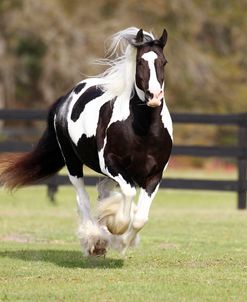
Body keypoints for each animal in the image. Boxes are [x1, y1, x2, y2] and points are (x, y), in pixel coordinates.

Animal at [0, 27, 173, 256]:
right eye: (140, 62)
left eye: (163, 62)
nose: (154, 96)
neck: (143, 130)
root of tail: (65, 98)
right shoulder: (110, 163)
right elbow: (126, 198)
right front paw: (115, 229)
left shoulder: (154, 175)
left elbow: (139, 218)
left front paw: (121, 240)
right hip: (72, 162)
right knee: (83, 199)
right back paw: (95, 240)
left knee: (104, 192)